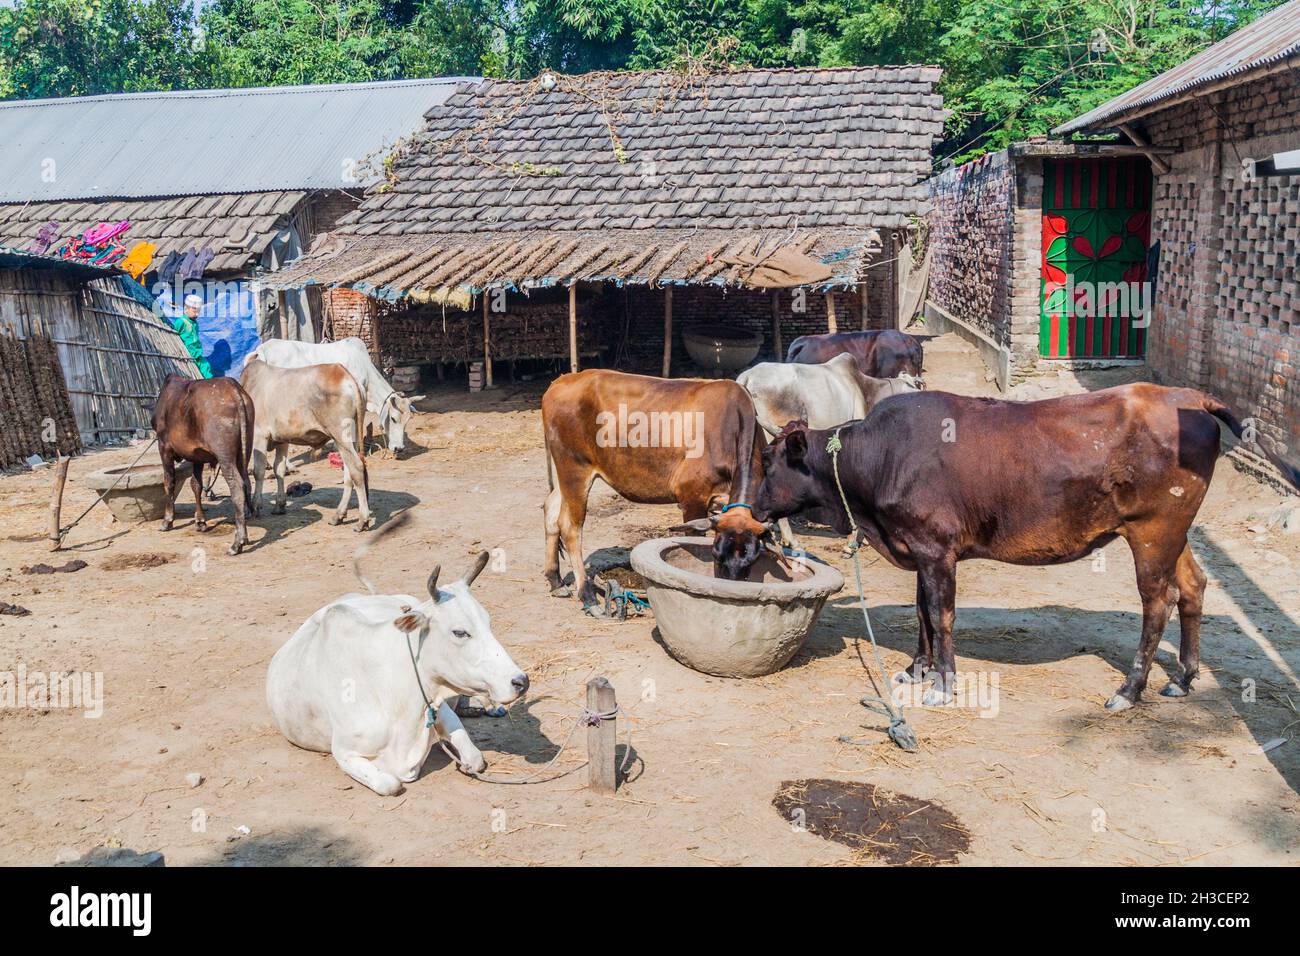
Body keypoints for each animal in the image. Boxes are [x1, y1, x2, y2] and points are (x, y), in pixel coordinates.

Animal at [150, 374, 254, 555]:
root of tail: (234, 388)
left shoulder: (164, 446)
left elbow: (169, 482)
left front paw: (167, 521)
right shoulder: (196, 456)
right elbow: (196, 484)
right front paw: (200, 521)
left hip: (225, 455)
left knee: (237, 486)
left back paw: (237, 543)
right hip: (244, 451)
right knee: (246, 481)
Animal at [239, 359, 372, 530]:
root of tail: (348, 377)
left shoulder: (259, 435)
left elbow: (258, 471)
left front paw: (256, 506)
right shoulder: (282, 440)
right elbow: (279, 469)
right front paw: (279, 505)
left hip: (340, 435)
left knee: (356, 468)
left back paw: (362, 520)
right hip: (350, 438)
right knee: (349, 473)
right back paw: (338, 516)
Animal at [266, 523, 529, 796]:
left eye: (488, 622)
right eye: (459, 632)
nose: (521, 681)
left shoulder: (438, 707)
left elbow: (475, 758)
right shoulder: (344, 752)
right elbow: (389, 784)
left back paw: (488, 705)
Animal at [542, 369, 773, 613]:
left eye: (751, 560)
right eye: (716, 555)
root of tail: (561, 380)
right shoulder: (693, 498)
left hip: (567, 475)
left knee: (551, 510)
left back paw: (556, 581)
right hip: (575, 469)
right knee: (570, 527)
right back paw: (588, 596)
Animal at [752, 384, 1300, 712]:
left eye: (770, 462)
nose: (753, 508)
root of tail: (1186, 396)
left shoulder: (935, 547)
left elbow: (941, 615)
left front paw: (943, 684)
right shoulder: (919, 548)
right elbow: (921, 612)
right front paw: (914, 669)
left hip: (1152, 528)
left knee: (1158, 601)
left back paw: (1129, 690)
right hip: (1173, 530)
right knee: (1193, 586)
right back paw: (1183, 677)